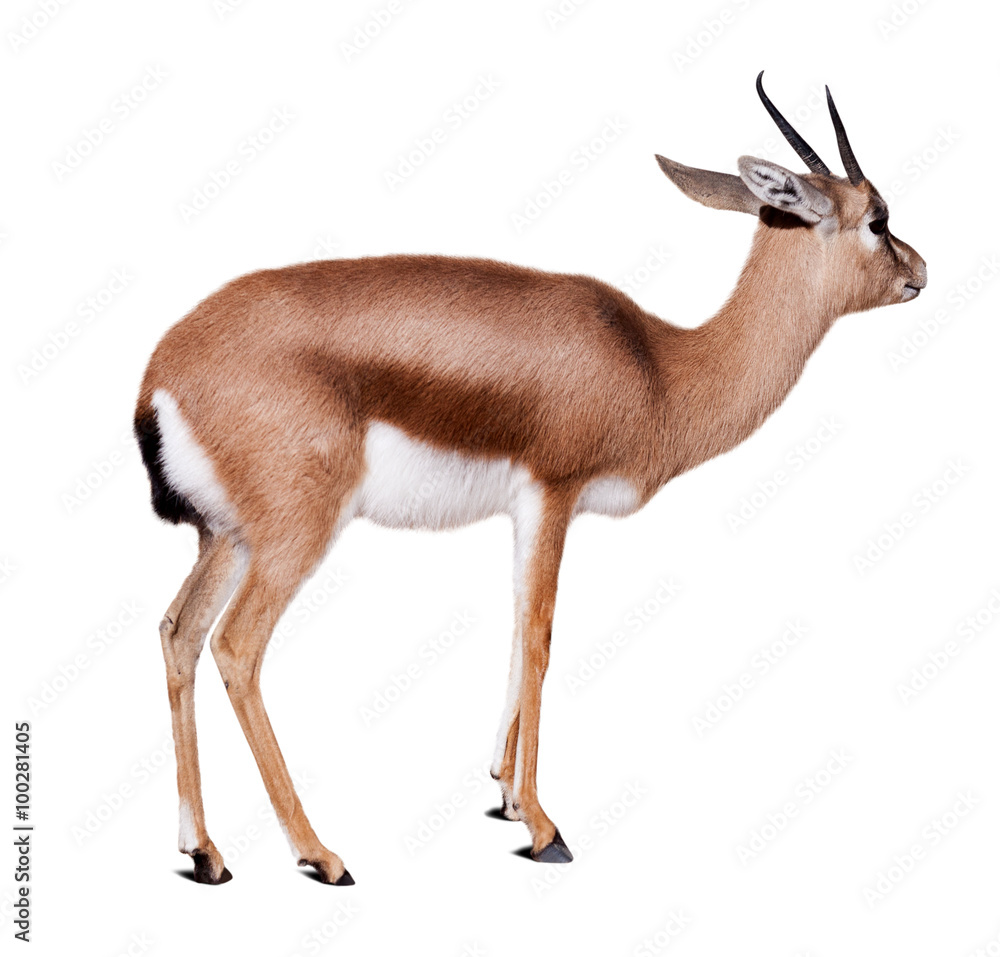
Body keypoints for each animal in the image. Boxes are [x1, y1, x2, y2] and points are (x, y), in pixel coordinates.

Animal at [135, 73, 926, 884]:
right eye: (877, 217)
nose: (919, 273)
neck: (659, 366)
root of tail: (163, 370)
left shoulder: (528, 508)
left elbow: (518, 629)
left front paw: (507, 796)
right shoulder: (554, 490)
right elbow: (543, 634)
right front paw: (545, 826)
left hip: (227, 536)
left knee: (178, 632)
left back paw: (205, 851)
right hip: (292, 536)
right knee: (237, 647)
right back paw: (321, 854)